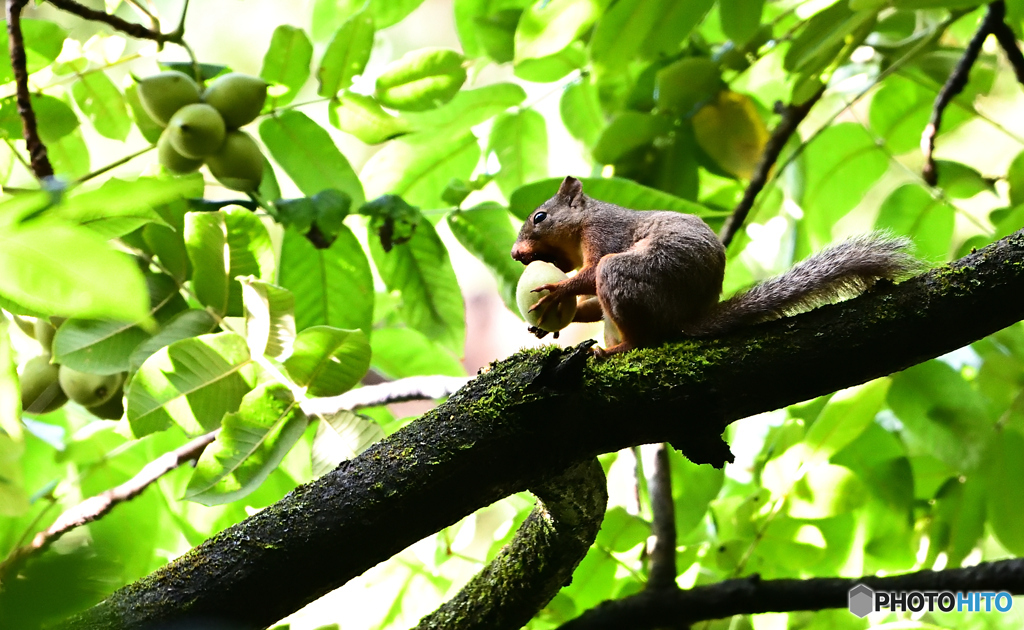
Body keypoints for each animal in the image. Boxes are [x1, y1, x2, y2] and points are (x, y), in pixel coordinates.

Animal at [512, 175, 921, 356]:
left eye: (540, 217)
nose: (516, 254)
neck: (583, 223)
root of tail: (685, 316)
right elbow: (593, 302)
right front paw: (550, 324)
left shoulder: (604, 236)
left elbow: (592, 271)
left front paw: (557, 292)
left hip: (633, 277)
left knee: (644, 336)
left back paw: (616, 349)